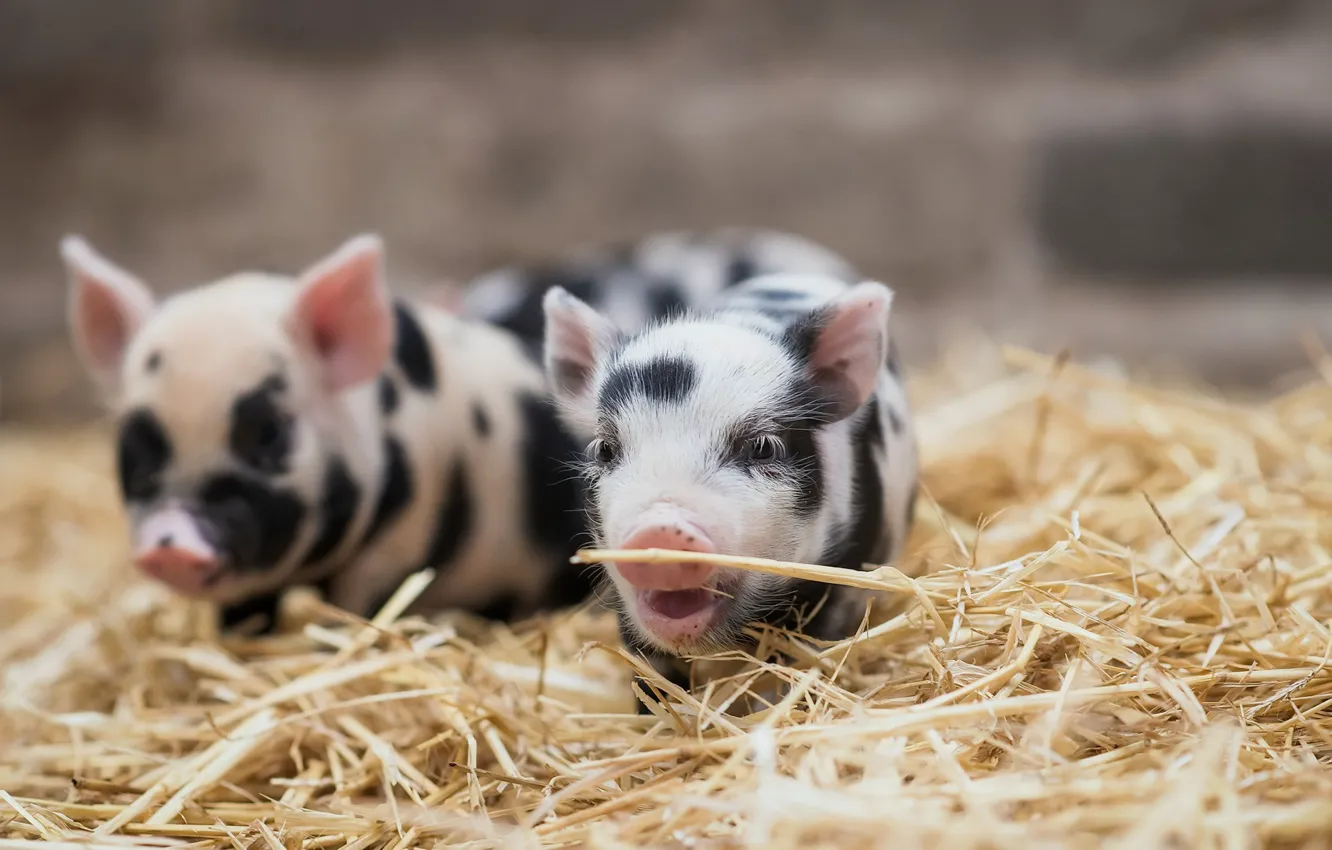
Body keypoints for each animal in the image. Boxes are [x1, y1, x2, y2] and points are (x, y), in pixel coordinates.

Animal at [62, 233, 596, 633]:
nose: (169, 542)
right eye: (135, 442)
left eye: (269, 433)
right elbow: (246, 612)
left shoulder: (400, 538)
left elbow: (357, 609)